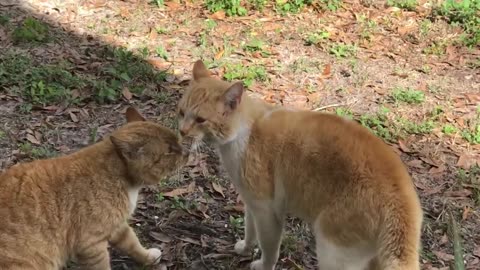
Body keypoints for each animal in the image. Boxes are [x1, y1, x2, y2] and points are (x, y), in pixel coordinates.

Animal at [0, 107, 188, 270]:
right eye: (169, 151)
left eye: (177, 141)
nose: (186, 152)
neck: (124, 180)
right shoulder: (92, 245)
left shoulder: (116, 226)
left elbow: (133, 243)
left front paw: (148, 257)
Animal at [178, 61, 422, 270]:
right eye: (181, 112)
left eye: (200, 120)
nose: (181, 131)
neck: (244, 131)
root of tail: (402, 200)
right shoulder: (250, 203)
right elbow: (249, 230)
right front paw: (245, 248)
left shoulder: (266, 210)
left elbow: (269, 248)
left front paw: (262, 264)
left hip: (331, 249)